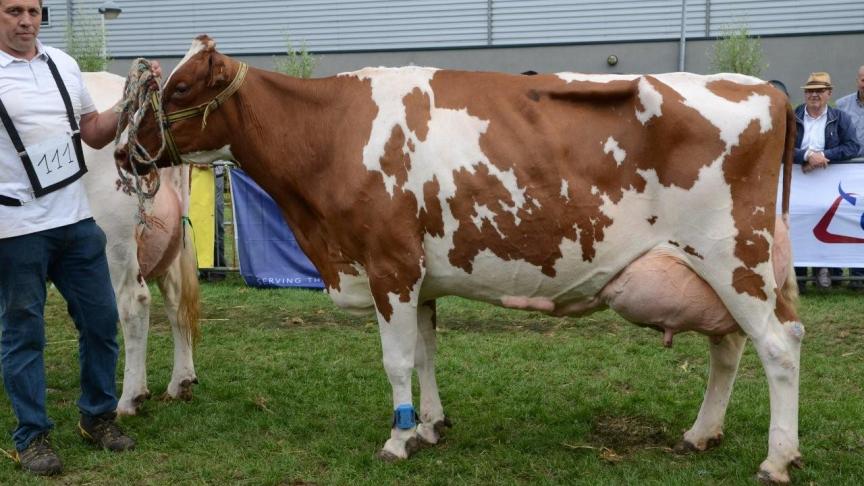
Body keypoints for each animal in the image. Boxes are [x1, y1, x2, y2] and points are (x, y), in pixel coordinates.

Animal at [82, 71, 200, 414]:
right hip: (170, 242)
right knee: (176, 300)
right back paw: (179, 383)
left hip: (114, 244)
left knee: (134, 304)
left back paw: (129, 398)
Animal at [120, 37, 804, 482]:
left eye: (180, 87)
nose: (125, 151)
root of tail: (763, 90)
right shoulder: (420, 277)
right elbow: (425, 354)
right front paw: (429, 426)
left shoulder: (390, 264)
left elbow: (396, 360)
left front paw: (397, 439)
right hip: (715, 271)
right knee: (729, 348)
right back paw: (701, 434)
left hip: (733, 258)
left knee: (778, 347)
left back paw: (776, 458)